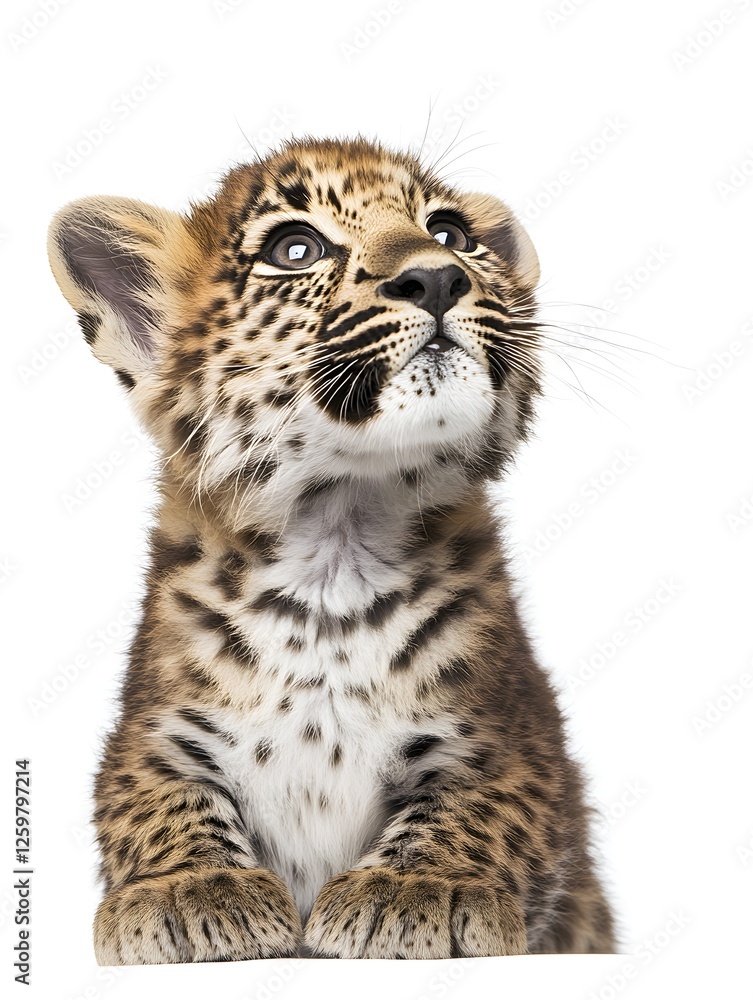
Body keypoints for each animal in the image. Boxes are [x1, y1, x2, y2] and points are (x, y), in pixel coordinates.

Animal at [47, 136, 616, 963]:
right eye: (296, 249)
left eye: (448, 233)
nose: (435, 276)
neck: (334, 548)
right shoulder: (149, 732)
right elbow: (155, 802)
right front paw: (191, 890)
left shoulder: (521, 738)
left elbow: (483, 805)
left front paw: (419, 887)